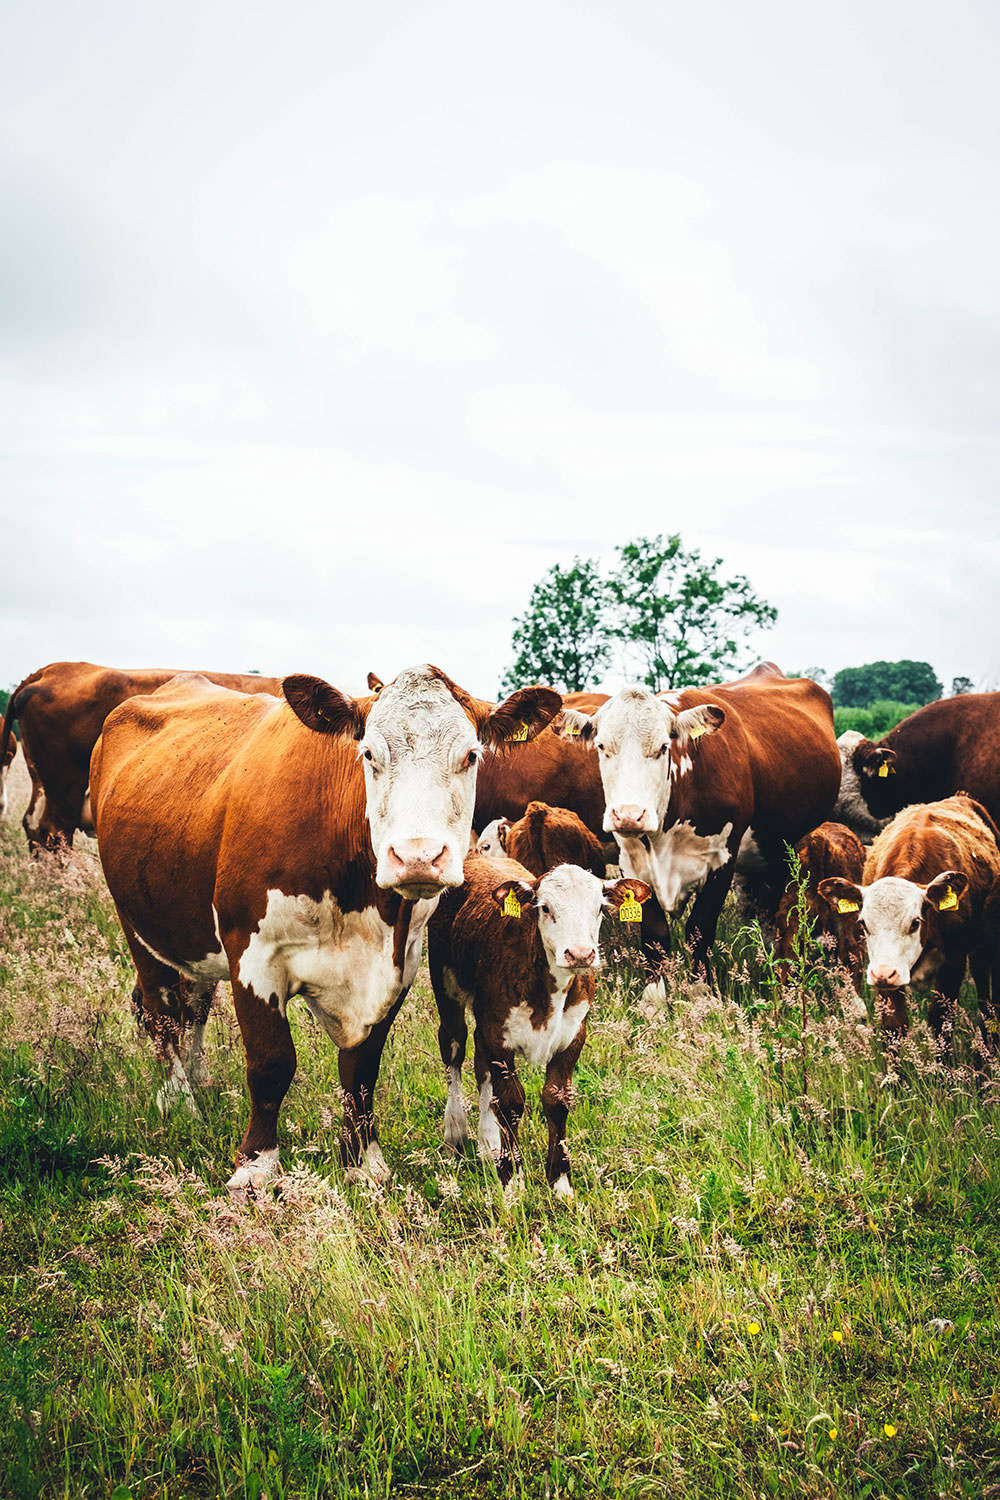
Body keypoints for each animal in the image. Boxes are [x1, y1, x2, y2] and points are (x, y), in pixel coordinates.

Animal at [89, 666, 562, 1192]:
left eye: (471, 755)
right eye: (369, 754)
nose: (417, 856)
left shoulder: (396, 965)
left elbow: (361, 1068)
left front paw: (363, 1160)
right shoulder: (253, 956)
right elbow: (272, 1063)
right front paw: (255, 1166)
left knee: (193, 1007)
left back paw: (199, 1081)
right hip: (137, 925)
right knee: (160, 1012)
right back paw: (179, 1102)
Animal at [428, 852, 651, 1194]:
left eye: (599, 908)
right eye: (545, 907)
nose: (580, 954)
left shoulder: (573, 1036)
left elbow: (556, 1100)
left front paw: (560, 1183)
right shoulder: (498, 1033)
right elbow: (511, 1102)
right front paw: (512, 1180)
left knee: (481, 1066)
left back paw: (489, 1143)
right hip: (445, 984)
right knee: (454, 1049)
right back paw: (455, 1133)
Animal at [557, 663, 842, 980]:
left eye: (663, 747)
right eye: (602, 746)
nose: (629, 814)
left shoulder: (721, 863)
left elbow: (699, 932)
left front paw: (700, 985)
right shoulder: (634, 865)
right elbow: (655, 939)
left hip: (784, 849)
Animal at [818, 793, 1000, 1044]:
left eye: (915, 922)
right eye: (863, 924)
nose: (883, 974)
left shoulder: (953, 963)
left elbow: (941, 1023)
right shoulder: (886, 973)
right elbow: (894, 1025)